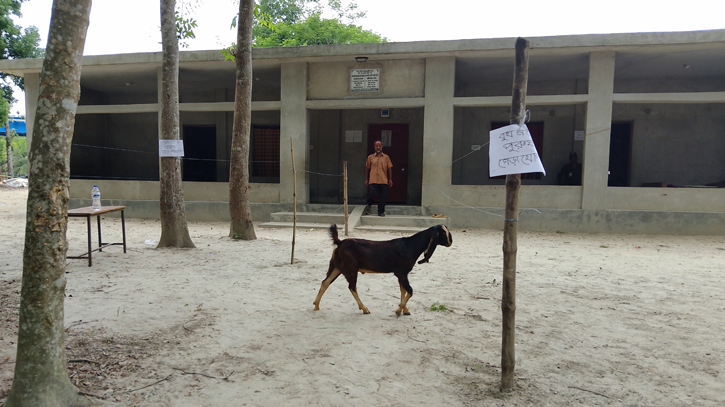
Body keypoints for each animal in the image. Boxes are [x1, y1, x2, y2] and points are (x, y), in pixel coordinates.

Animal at [312, 225, 452, 318]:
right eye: (443, 233)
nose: (450, 242)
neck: (410, 246)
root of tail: (340, 242)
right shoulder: (401, 272)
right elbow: (410, 290)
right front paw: (398, 310)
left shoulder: (402, 274)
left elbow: (403, 290)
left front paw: (405, 310)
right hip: (351, 268)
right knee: (352, 287)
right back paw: (365, 309)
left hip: (336, 266)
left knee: (325, 282)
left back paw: (316, 305)